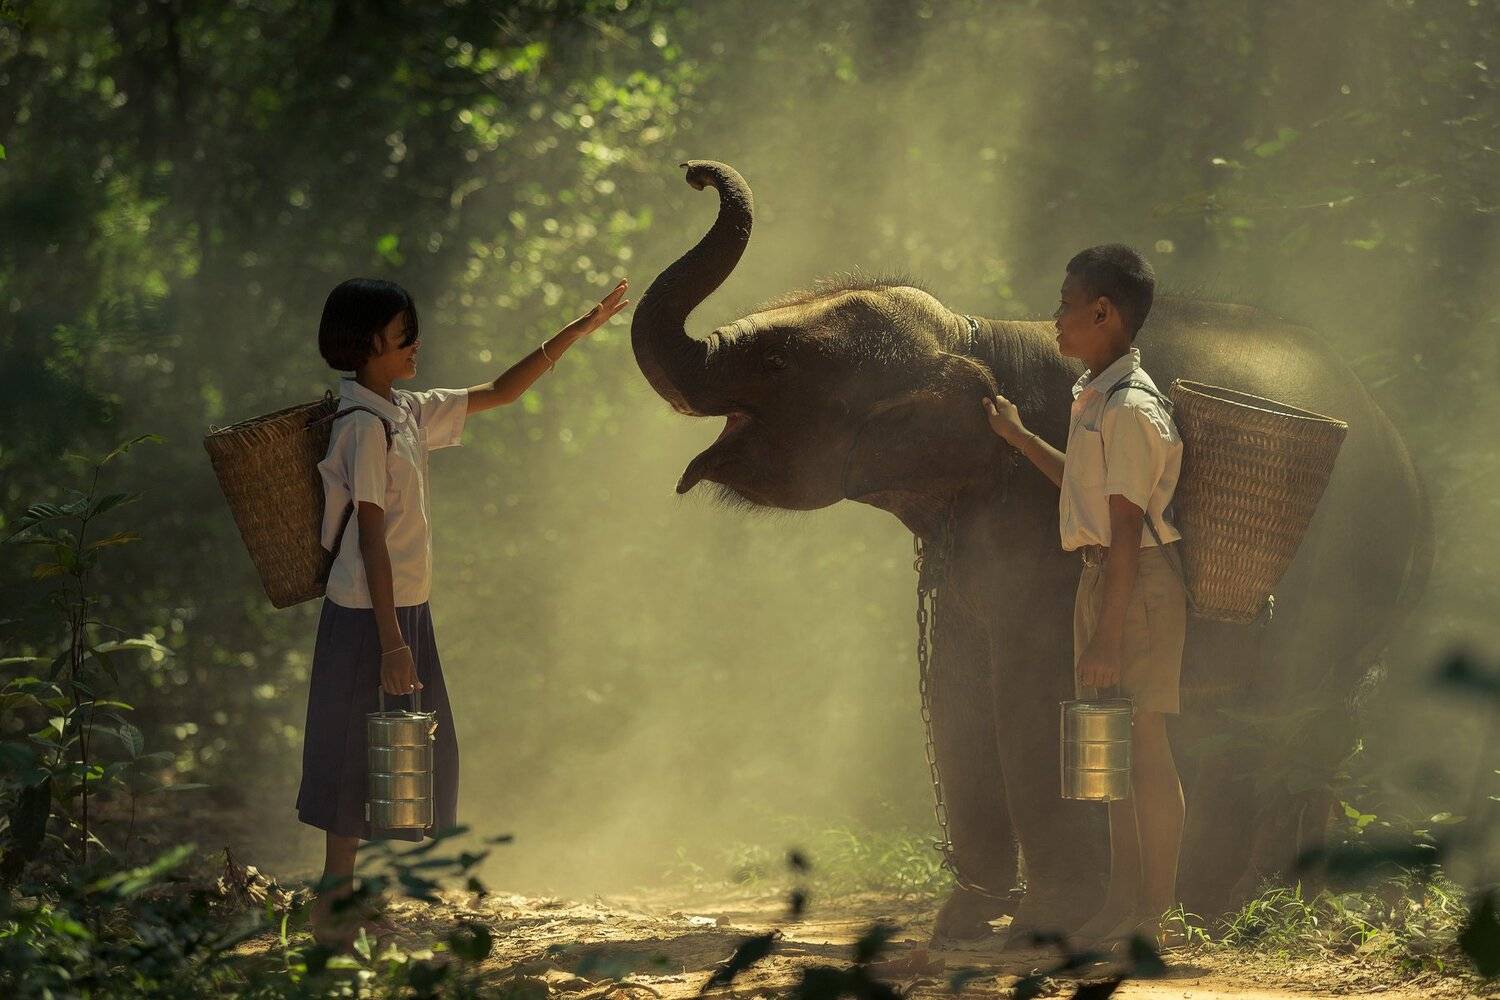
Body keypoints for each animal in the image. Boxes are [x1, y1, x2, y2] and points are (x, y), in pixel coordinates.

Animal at [631, 161, 1433, 941]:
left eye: (778, 365)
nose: (695, 173)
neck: (977, 336)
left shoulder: (1036, 544)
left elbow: (1025, 691)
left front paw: (1039, 921)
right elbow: (955, 687)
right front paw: (962, 924)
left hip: (1346, 573)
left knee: (1284, 719)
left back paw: (1235, 907)